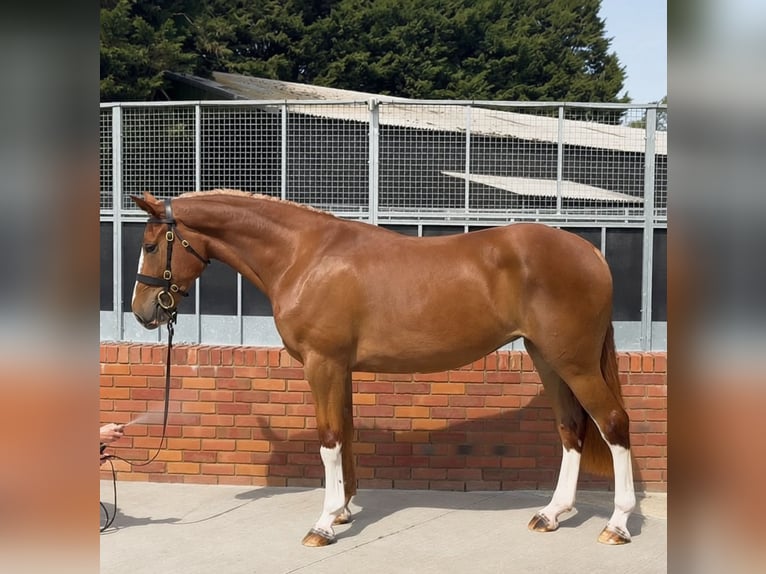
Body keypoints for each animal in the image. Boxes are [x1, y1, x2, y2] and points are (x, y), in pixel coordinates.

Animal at [130, 189, 636, 547]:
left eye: (152, 245)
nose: (142, 311)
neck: (303, 256)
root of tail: (589, 252)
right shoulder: (341, 369)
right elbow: (347, 435)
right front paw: (343, 511)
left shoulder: (323, 364)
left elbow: (329, 439)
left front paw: (323, 524)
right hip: (547, 359)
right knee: (571, 429)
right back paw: (551, 514)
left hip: (574, 363)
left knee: (612, 423)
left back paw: (617, 524)